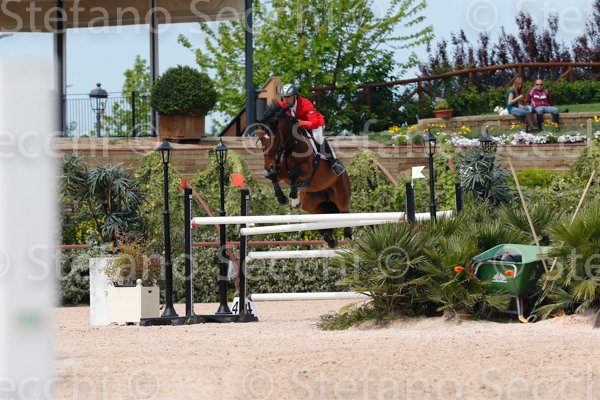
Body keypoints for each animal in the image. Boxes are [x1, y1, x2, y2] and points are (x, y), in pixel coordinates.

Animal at [256, 101, 352, 248]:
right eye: (261, 139)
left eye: (275, 138)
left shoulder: (307, 171)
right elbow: (273, 176)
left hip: (341, 192)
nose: (267, 166)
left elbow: (294, 174)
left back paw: (347, 233)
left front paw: (293, 195)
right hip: (313, 205)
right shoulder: (281, 172)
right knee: (323, 220)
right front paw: (282, 199)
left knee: (344, 210)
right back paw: (330, 239)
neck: (290, 144)